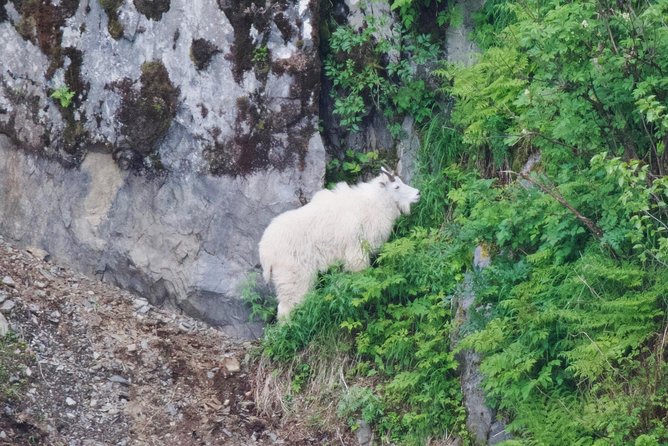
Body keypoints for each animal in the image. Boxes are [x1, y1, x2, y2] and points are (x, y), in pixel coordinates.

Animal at [258, 166, 420, 318]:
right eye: (396, 187)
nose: (418, 193)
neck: (373, 204)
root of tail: (265, 251)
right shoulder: (356, 252)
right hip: (293, 276)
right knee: (286, 308)